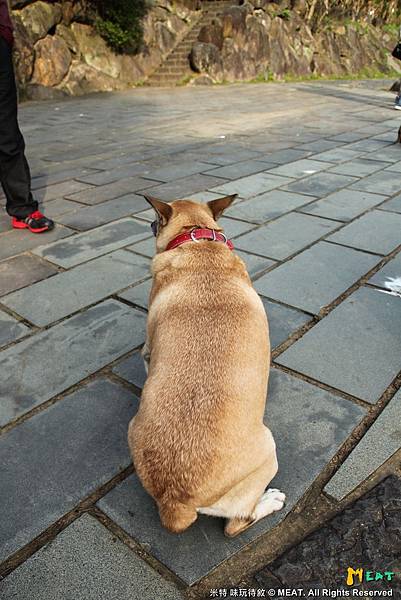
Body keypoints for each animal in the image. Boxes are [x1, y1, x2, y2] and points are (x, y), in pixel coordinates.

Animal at [128, 195, 284, 536]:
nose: (149, 222)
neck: (197, 240)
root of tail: (177, 502)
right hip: (269, 450)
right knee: (236, 524)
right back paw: (270, 501)